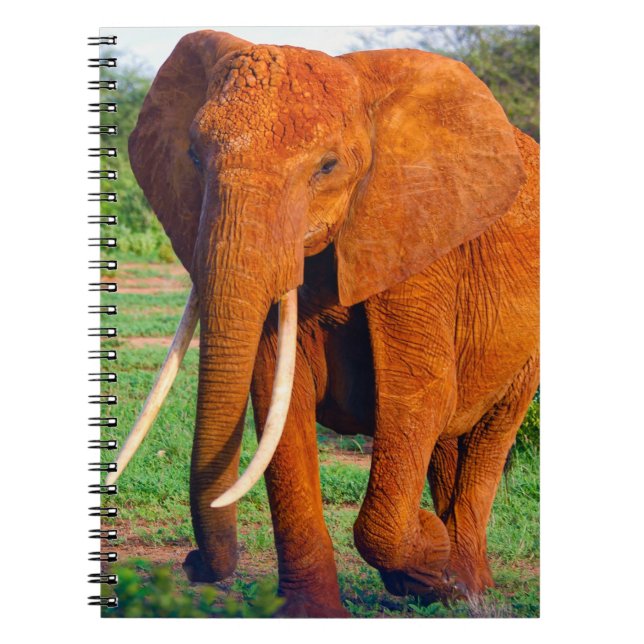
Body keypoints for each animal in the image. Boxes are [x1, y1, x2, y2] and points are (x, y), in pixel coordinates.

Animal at [108, 30, 539, 617]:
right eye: (194, 156)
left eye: (328, 167)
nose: (192, 564)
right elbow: (277, 398)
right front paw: (315, 612)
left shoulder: (417, 242)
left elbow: (418, 396)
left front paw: (429, 555)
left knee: (489, 435)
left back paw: (466, 589)